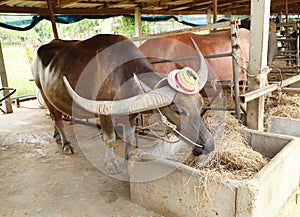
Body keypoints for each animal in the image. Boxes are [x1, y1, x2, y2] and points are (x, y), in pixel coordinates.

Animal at [31, 33, 214, 173]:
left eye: (200, 103)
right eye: (178, 111)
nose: (209, 145)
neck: (122, 77)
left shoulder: (131, 114)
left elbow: (129, 137)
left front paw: (128, 158)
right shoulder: (104, 113)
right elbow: (110, 139)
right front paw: (111, 163)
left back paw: (56, 135)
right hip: (43, 93)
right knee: (57, 117)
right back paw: (66, 144)